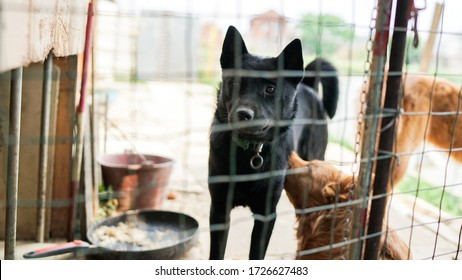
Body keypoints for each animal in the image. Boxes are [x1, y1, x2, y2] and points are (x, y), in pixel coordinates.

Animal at [209, 26, 340, 260]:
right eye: (235, 83)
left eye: (270, 89)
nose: (244, 114)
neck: (248, 153)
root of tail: (307, 85)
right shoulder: (219, 210)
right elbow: (216, 253)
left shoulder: (266, 215)